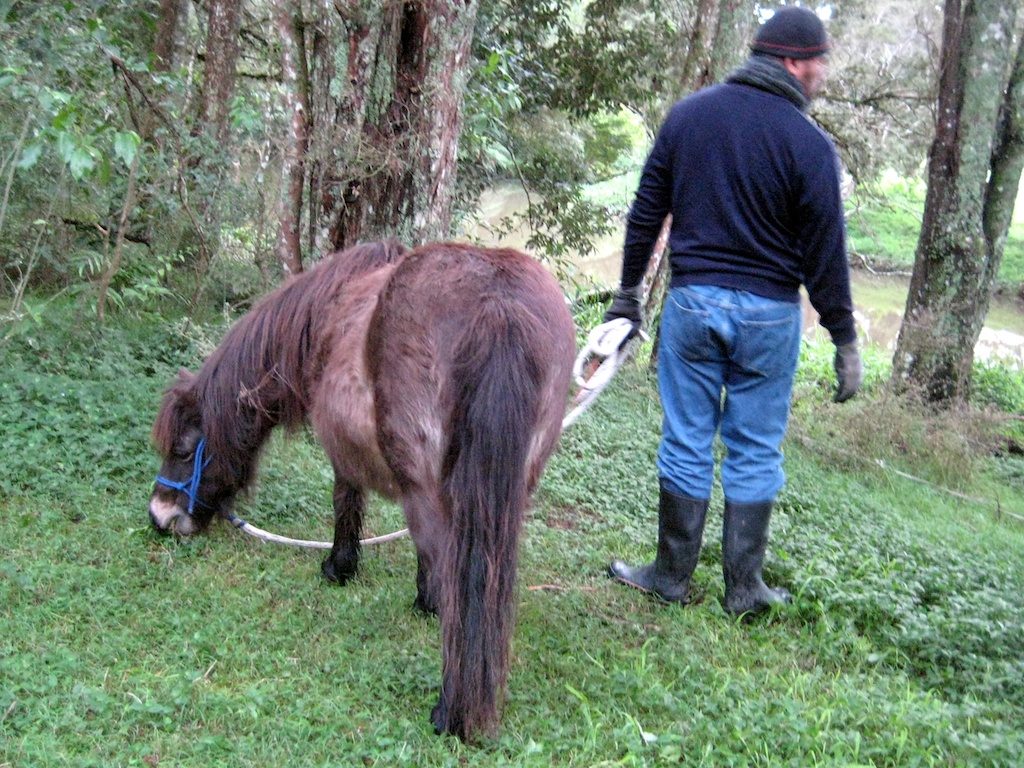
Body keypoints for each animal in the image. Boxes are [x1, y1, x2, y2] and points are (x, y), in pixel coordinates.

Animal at [148, 243, 577, 741]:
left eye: (183, 449)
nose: (159, 515)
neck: (328, 312)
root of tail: (498, 306)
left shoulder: (345, 452)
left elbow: (346, 502)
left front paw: (341, 567)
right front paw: (423, 599)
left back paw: (451, 711)